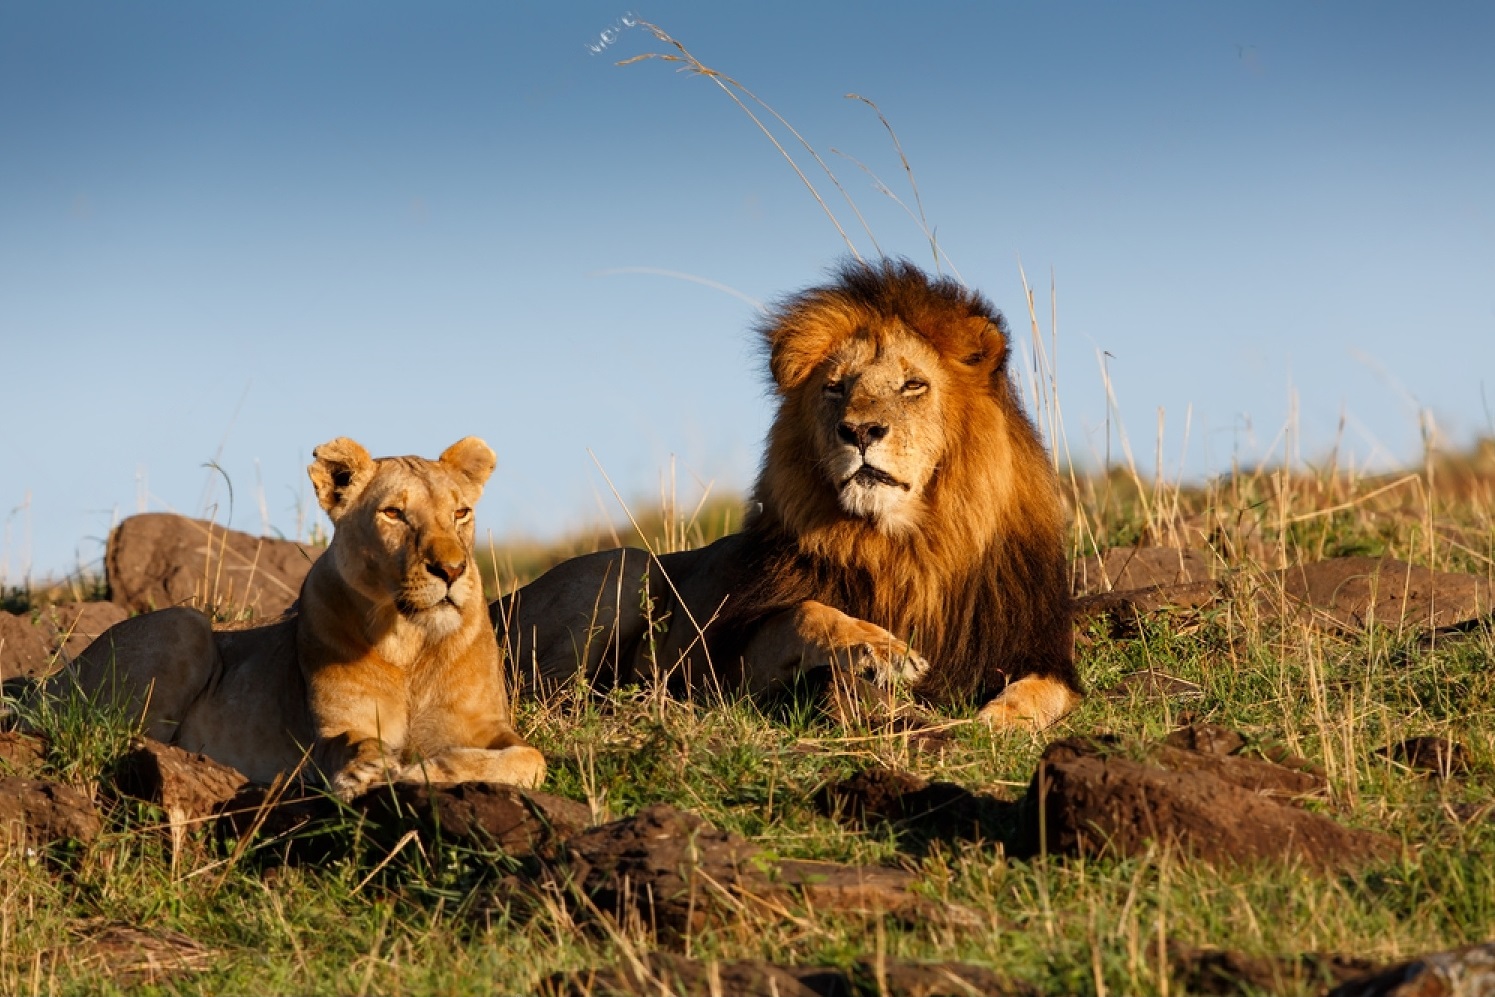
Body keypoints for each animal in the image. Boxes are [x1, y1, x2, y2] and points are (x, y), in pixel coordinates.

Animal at [64, 436, 547, 795]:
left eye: (461, 513)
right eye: (394, 513)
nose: (451, 570)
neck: (410, 639)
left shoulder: (486, 726)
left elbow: (531, 757)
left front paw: (424, 770)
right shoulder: (336, 727)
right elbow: (352, 742)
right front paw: (366, 771)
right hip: (185, 623)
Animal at [496, 261, 1082, 729]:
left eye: (913, 385)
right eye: (836, 387)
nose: (859, 431)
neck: (904, 547)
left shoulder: (1036, 650)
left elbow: (1045, 692)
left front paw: (995, 721)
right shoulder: (733, 665)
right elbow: (808, 611)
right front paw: (883, 651)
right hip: (626, 566)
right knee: (541, 689)